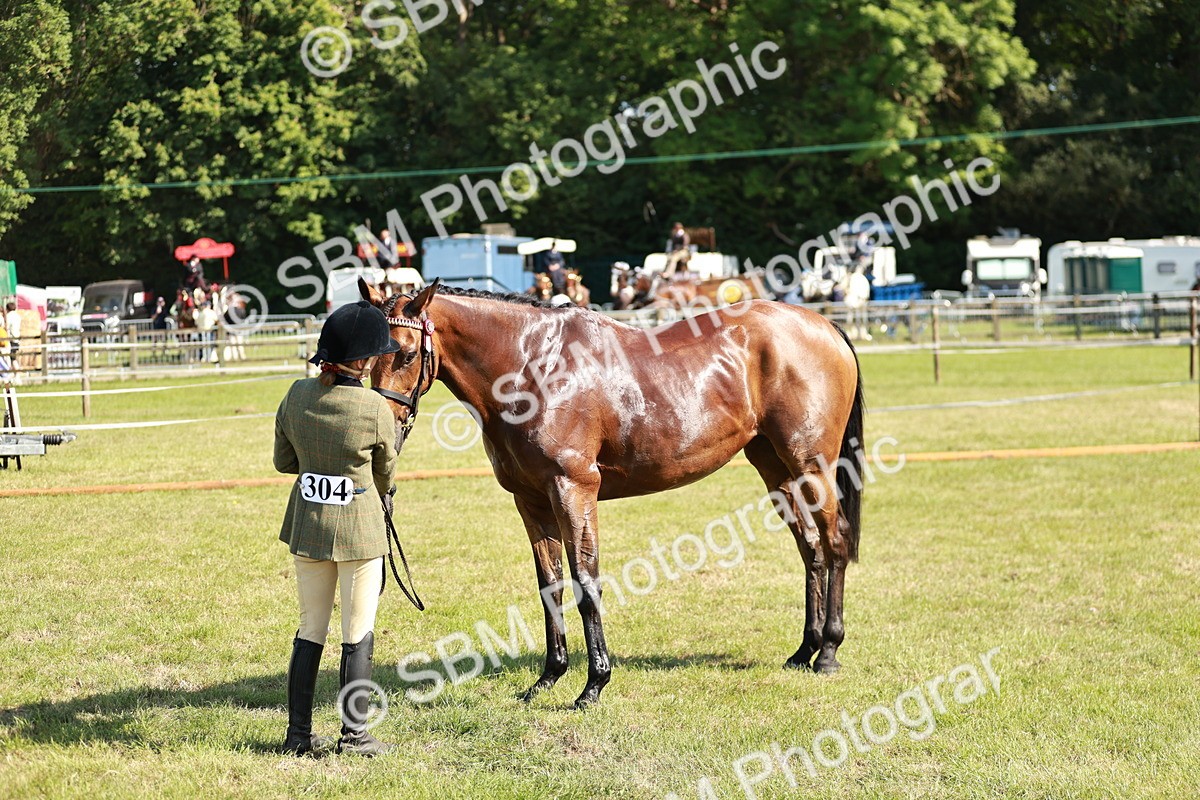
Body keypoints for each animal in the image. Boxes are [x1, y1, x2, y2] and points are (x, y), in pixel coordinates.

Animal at [364, 279, 864, 708]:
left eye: (405, 354)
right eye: (368, 358)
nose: (381, 432)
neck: (532, 366)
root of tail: (824, 325)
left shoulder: (573, 490)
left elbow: (586, 583)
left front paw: (593, 685)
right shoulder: (531, 501)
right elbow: (550, 586)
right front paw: (547, 679)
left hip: (812, 465)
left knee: (835, 541)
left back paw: (828, 653)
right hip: (775, 469)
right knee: (811, 548)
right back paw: (803, 650)